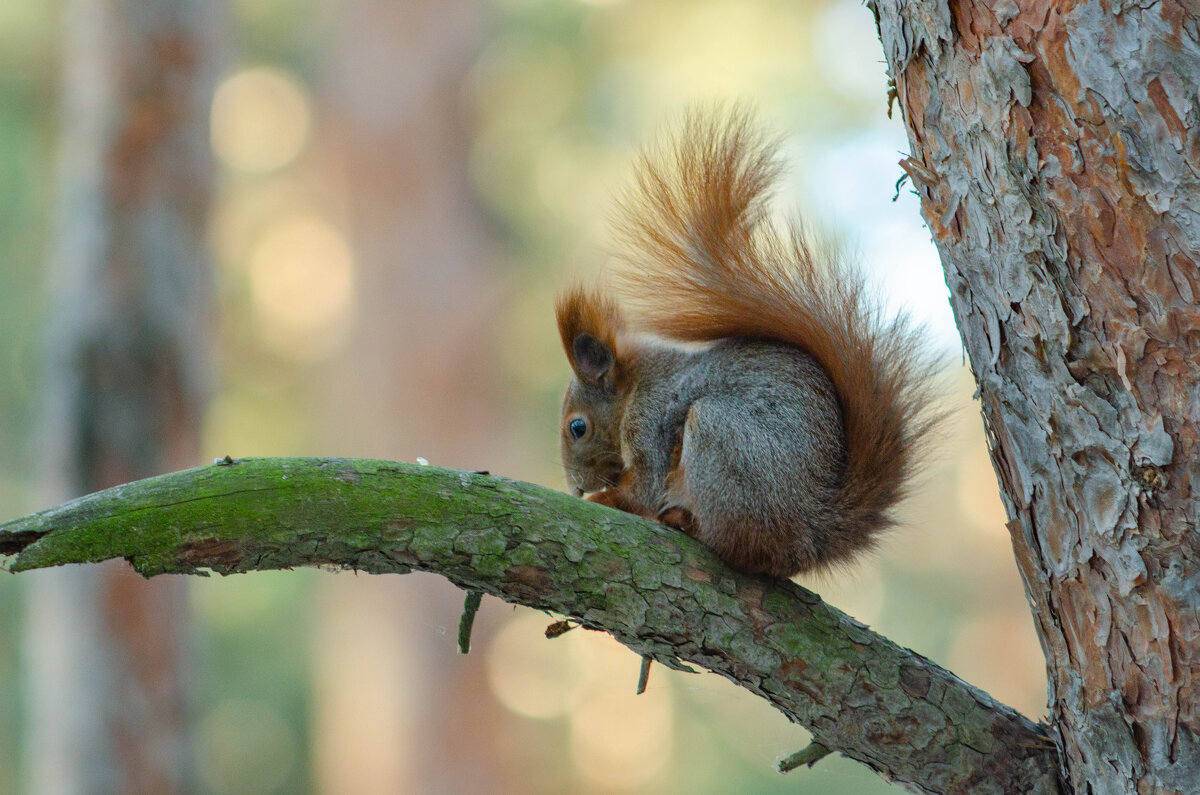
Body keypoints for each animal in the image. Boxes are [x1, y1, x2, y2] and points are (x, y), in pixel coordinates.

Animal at [556, 109, 940, 578]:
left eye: (578, 427)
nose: (576, 487)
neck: (636, 388)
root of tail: (810, 533)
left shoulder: (650, 421)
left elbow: (642, 490)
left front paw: (603, 498)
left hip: (721, 440)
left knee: (738, 543)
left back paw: (686, 522)